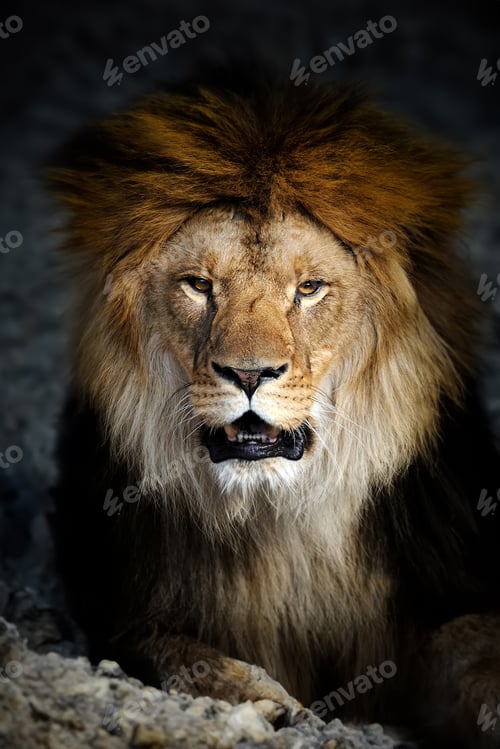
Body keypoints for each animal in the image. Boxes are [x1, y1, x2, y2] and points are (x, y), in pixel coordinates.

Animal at [49, 71, 500, 747]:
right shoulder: (118, 610)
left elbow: (472, 645)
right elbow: (169, 648)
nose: (248, 374)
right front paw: (259, 698)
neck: (276, 512)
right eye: (200, 285)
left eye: (308, 288)